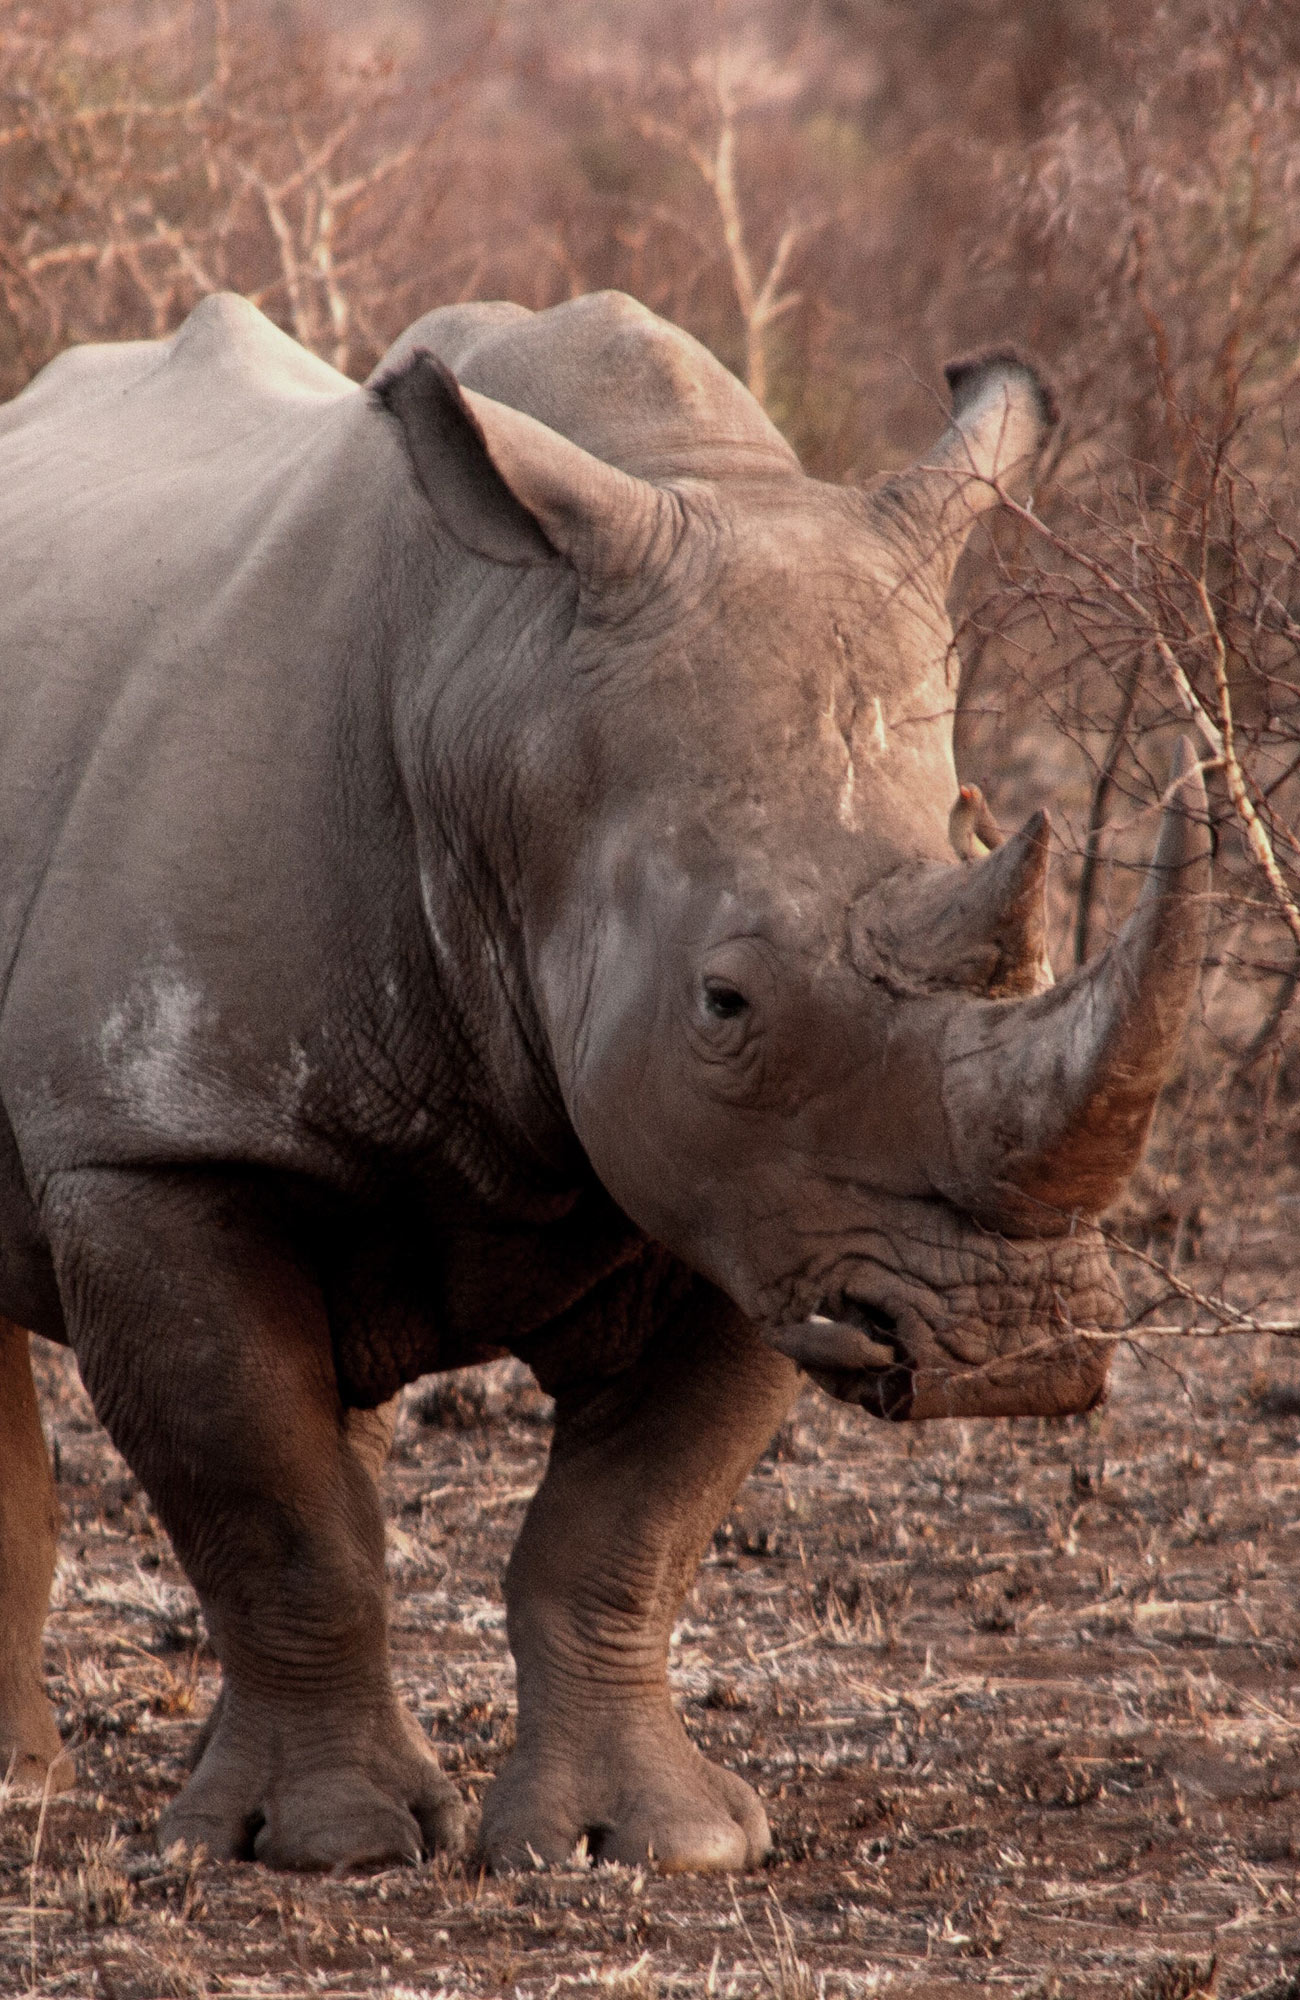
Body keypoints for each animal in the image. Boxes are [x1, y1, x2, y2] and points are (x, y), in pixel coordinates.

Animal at [0, 291, 1208, 1873]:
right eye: (725, 999)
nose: (1016, 1351)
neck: (498, 693)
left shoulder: (769, 1204)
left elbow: (627, 1525)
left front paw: (653, 1845)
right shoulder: (153, 1142)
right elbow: (271, 1511)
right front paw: (331, 1848)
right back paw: (47, 1795)